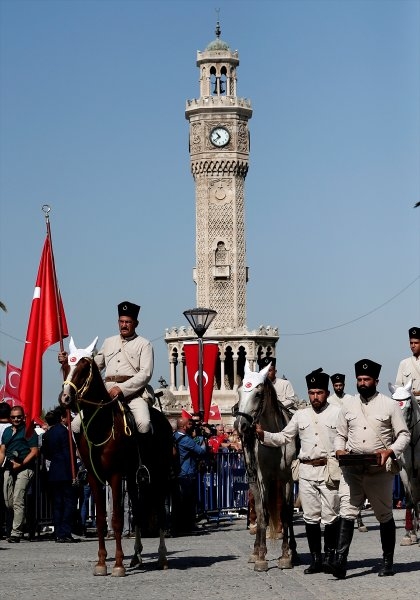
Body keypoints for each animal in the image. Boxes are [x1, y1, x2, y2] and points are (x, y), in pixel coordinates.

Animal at [59, 338, 172, 576]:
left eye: (84, 368)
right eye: (66, 366)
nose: (65, 398)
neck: (100, 425)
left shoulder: (115, 475)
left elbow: (117, 519)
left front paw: (118, 564)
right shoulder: (95, 478)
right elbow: (102, 519)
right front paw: (102, 563)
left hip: (158, 476)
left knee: (159, 511)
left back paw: (162, 557)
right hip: (135, 479)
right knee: (138, 511)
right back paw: (137, 557)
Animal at [233, 360, 298, 572]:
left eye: (258, 393)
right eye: (239, 390)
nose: (240, 425)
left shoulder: (286, 478)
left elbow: (286, 512)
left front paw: (286, 555)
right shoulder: (262, 478)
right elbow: (263, 514)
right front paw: (261, 556)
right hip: (253, 478)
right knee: (260, 509)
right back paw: (255, 552)